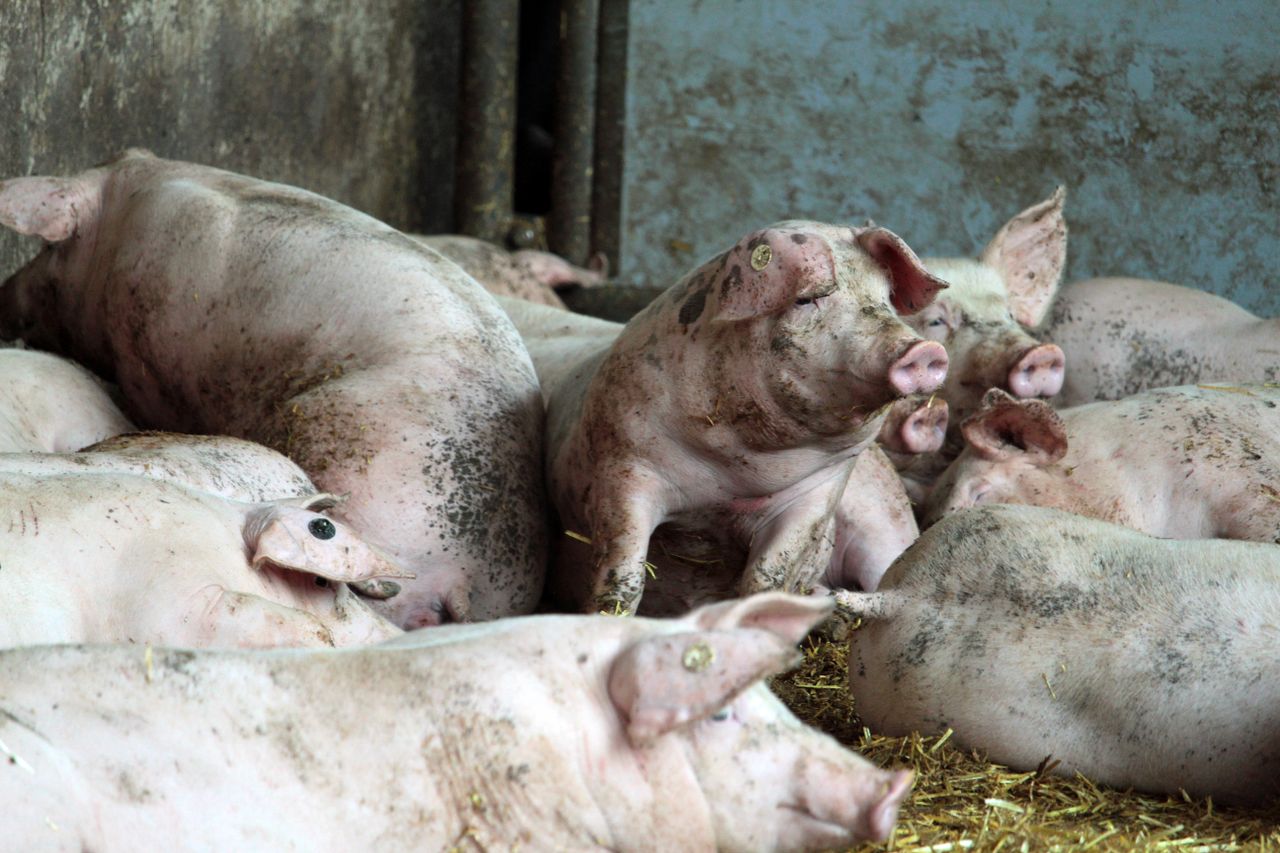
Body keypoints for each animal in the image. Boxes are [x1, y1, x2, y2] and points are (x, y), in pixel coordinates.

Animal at [500, 220, 950, 615]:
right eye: (806, 300)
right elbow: (624, 571)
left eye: (885, 299)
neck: (733, 476)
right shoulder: (623, 466)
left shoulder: (817, 490)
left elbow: (769, 574)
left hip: (884, 515)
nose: (923, 350)